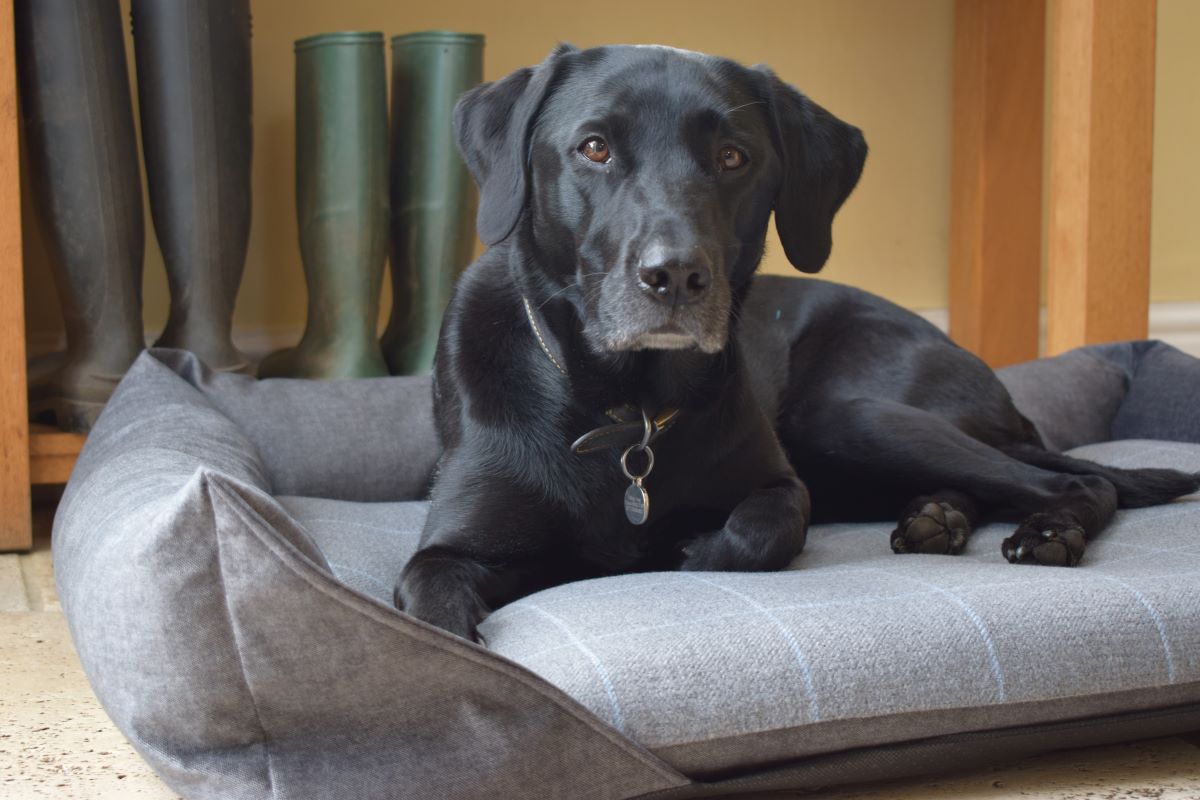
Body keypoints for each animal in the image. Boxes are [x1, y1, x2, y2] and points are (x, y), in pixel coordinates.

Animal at [396, 45, 1200, 642]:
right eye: (593, 148)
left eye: (733, 157)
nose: (675, 274)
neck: (626, 411)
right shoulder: (446, 554)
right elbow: (436, 619)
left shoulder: (780, 484)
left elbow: (759, 531)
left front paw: (689, 548)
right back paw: (938, 519)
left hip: (845, 416)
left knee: (1078, 482)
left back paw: (1046, 531)